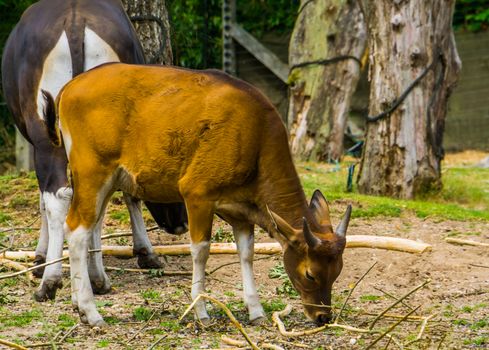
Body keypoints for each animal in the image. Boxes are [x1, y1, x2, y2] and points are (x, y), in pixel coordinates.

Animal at [1, 0, 187, 300]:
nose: (181, 223)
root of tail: (75, 22)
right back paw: (93, 277)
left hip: (45, 137)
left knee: (60, 196)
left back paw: (56, 281)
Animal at [44, 62, 350, 326]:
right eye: (310, 274)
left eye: (337, 272)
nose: (323, 316)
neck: (254, 137)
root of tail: (69, 87)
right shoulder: (197, 195)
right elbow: (201, 251)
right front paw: (201, 311)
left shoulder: (241, 211)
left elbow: (246, 253)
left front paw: (256, 310)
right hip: (93, 172)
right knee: (77, 230)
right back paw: (91, 312)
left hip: (106, 180)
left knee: (87, 227)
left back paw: (77, 303)